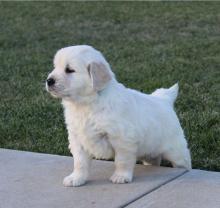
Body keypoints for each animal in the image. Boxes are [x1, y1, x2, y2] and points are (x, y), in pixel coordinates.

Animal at [46, 45, 191, 187]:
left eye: (69, 70)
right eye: (55, 67)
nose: (49, 81)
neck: (87, 103)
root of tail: (164, 100)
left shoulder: (122, 138)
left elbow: (122, 160)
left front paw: (121, 176)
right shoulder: (77, 138)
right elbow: (79, 162)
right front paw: (76, 178)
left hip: (176, 149)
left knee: (184, 162)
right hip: (150, 150)